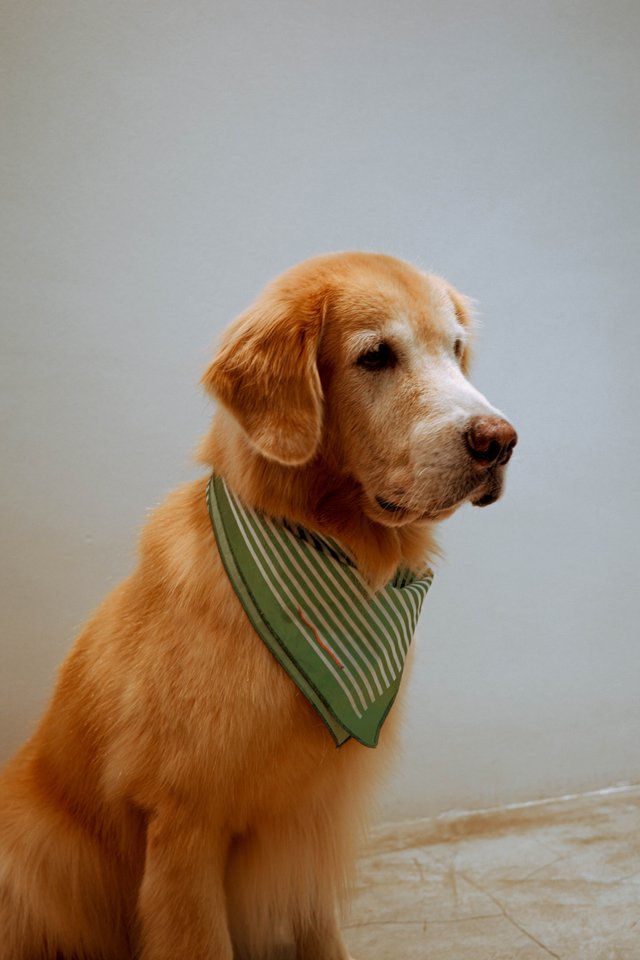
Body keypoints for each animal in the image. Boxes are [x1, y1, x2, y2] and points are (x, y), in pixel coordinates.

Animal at [0, 251, 516, 956]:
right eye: (376, 356)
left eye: (456, 349)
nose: (501, 440)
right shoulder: (184, 828)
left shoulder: (311, 829)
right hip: (41, 854)